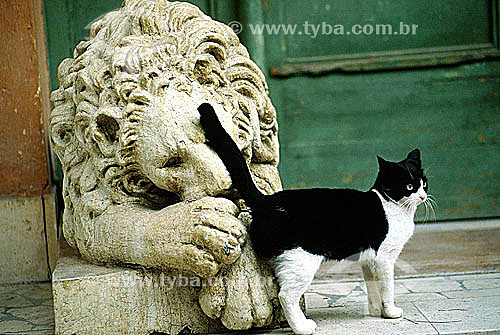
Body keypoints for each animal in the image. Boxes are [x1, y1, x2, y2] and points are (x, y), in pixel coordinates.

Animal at [199, 103, 430, 334]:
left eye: (423, 183)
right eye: (409, 186)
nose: (423, 196)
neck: (393, 206)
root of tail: (267, 200)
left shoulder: (368, 260)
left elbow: (373, 287)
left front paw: (375, 312)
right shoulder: (384, 258)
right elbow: (387, 287)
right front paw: (390, 312)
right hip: (302, 260)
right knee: (286, 295)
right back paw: (303, 327)